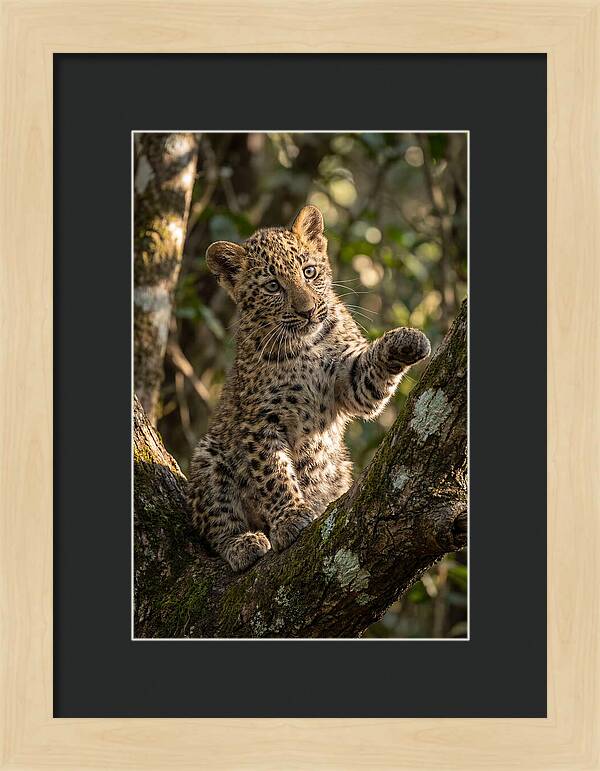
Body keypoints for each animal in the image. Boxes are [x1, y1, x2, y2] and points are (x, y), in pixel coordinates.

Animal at [188, 205, 431, 572]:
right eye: (273, 286)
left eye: (310, 271)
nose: (307, 311)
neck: (305, 346)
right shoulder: (260, 420)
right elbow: (273, 473)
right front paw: (290, 518)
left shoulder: (349, 382)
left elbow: (369, 374)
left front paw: (406, 339)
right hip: (209, 457)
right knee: (215, 523)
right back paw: (243, 543)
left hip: (339, 468)